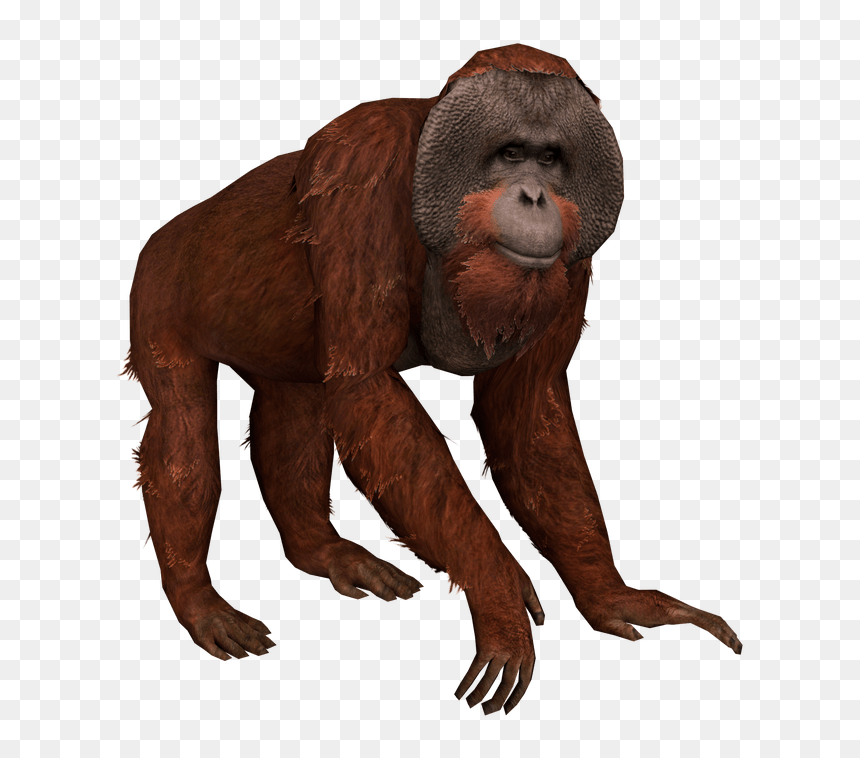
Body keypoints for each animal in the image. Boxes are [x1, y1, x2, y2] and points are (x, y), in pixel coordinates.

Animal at [124, 44, 742, 716]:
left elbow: (525, 413)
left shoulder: (575, 259)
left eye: (552, 158)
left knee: (297, 403)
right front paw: (498, 588)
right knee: (182, 423)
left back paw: (322, 551)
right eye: (510, 154)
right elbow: (368, 387)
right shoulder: (360, 169)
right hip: (157, 284)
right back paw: (199, 601)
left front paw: (610, 594)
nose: (534, 196)